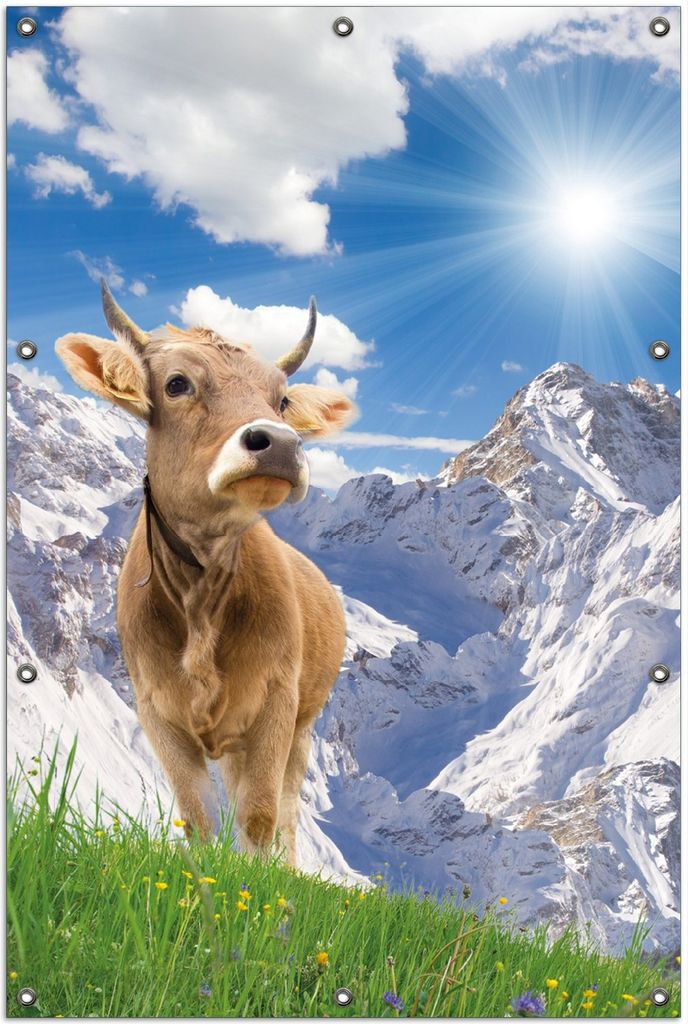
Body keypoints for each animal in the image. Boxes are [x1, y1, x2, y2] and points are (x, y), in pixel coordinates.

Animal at [55, 283, 356, 864]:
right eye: (177, 383)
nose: (280, 443)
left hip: (302, 725)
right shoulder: (157, 713)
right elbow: (197, 819)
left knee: (286, 811)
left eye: (281, 399)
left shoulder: (276, 704)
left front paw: (260, 887)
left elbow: (260, 818)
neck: (201, 597)